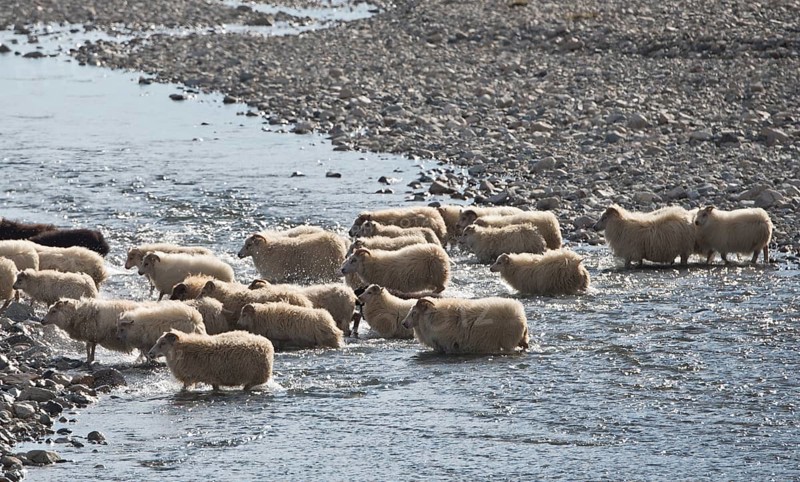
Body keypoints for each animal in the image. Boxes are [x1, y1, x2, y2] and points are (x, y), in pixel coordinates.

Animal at [401, 297, 529, 354]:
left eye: (414, 312)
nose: (404, 324)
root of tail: (521, 314)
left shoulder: (447, 345)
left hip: (508, 342)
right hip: (521, 339)